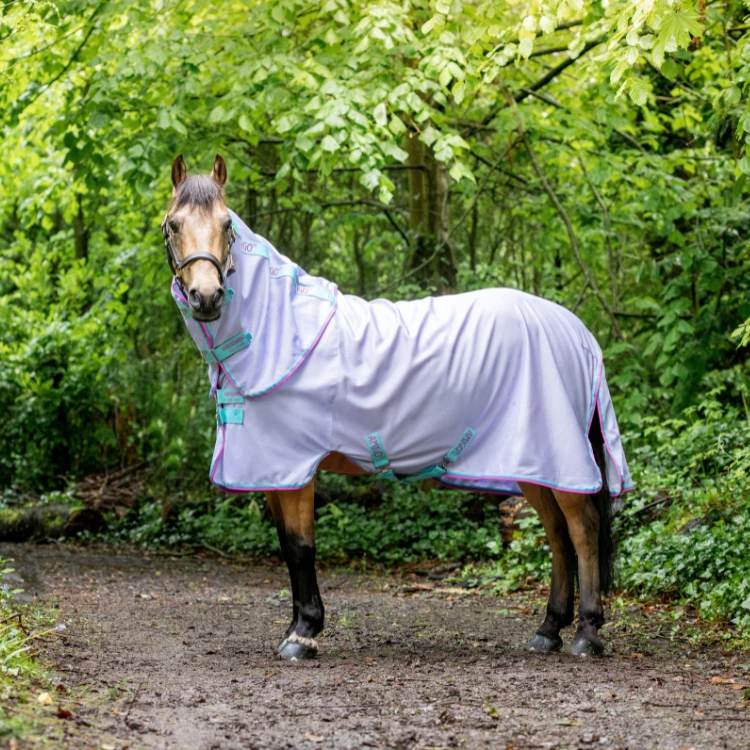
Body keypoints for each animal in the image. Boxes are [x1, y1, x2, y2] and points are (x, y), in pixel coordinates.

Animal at [162, 153, 632, 662]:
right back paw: (548, 629)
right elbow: (288, 547)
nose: (207, 297)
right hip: (533, 464)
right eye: (174, 224)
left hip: (561, 460)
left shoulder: (296, 468)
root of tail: (576, 331)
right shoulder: (272, 472)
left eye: (227, 225)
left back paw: (587, 633)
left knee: (582, 529)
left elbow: (302, 547)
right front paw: (296, 626)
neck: (283, 329)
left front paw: (303, 633)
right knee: (558, 536)